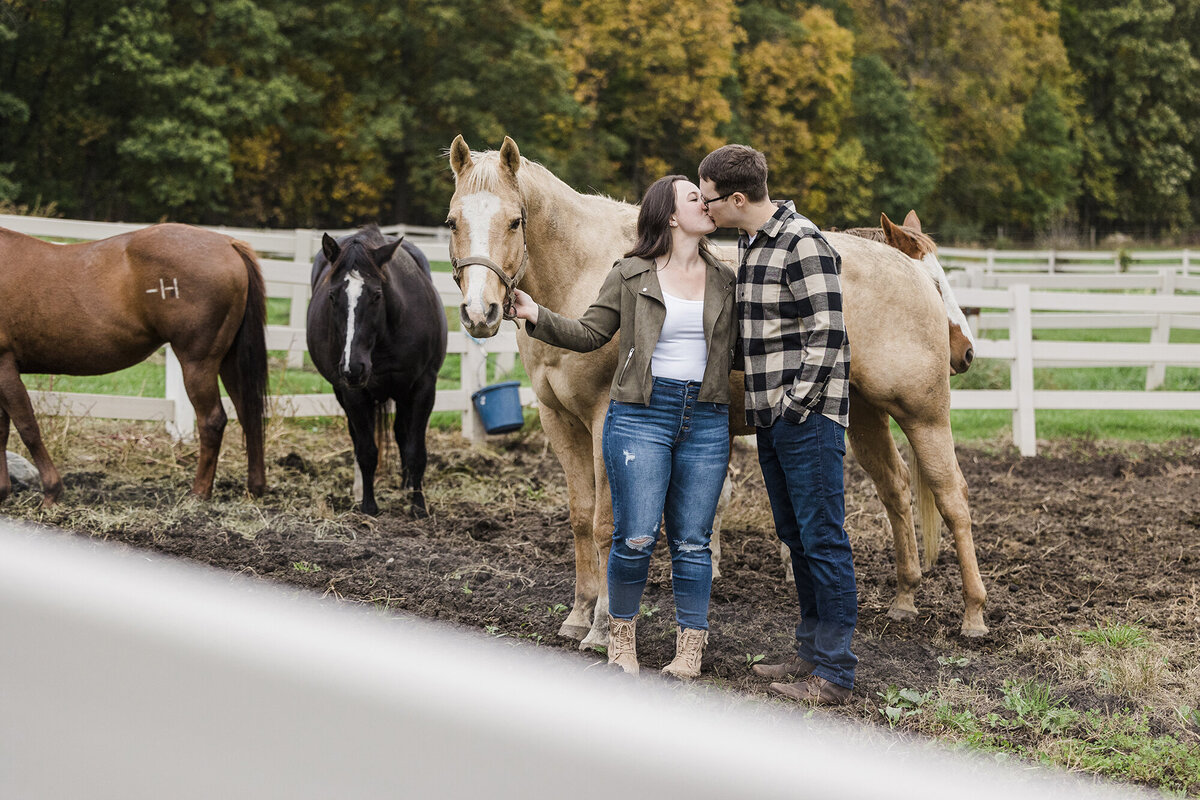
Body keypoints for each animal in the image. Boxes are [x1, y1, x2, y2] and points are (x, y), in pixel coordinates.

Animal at [0, 221, 267, 503]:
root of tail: (228, 243)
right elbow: (3, 431)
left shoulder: (5, 367)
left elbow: (27, 427)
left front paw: (51, 492)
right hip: (229, 361)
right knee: (249, 413)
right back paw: (255, 487)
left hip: (198, 363)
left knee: (212, 421)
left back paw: (199, 492)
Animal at [307, 226, 448, 513]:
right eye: (332, 296)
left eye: (376, 295)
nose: (353, 367)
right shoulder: (353, 394)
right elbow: (367, 451)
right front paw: (369, 505)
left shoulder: (423, 388)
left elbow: (416, 450)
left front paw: (418, 505)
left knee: (402, 434)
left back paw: (407, 484)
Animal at [446, 134, 988, 642]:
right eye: (452, 222)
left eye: (515, 221)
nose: (479, 313)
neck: (582, 273)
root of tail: (905, 272)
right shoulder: (557, 421)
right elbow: (581, 520)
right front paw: (578, 616)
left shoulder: (605, 420)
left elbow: (605, 524)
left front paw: (600, 625)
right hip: (867, 416)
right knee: (896, 489)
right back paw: (904, 599)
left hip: (923, 415)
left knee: (953, 498)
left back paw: (974, 615)